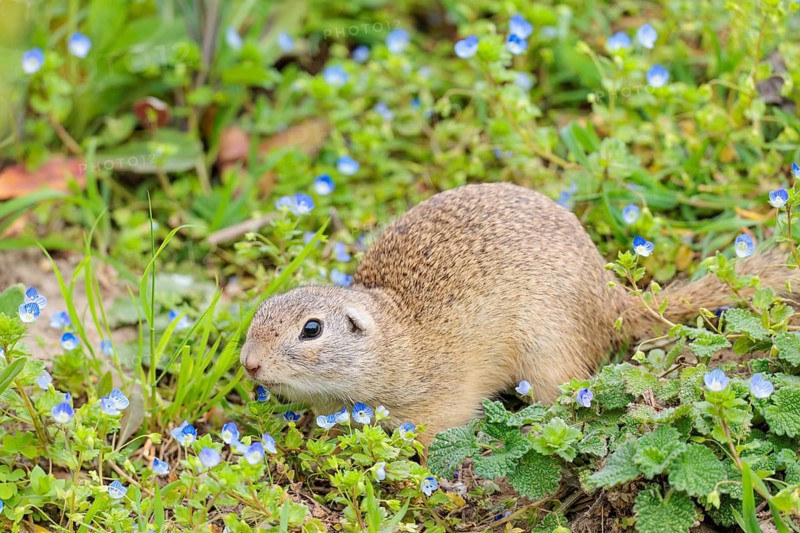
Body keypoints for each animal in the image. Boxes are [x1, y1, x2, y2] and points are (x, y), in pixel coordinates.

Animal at [241, 182, 796, 444]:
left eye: (311, 329)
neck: (396, 341)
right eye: (259, 311)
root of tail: (611, 297)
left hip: (548, 355)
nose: (248, 363)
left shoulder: (437, 404)